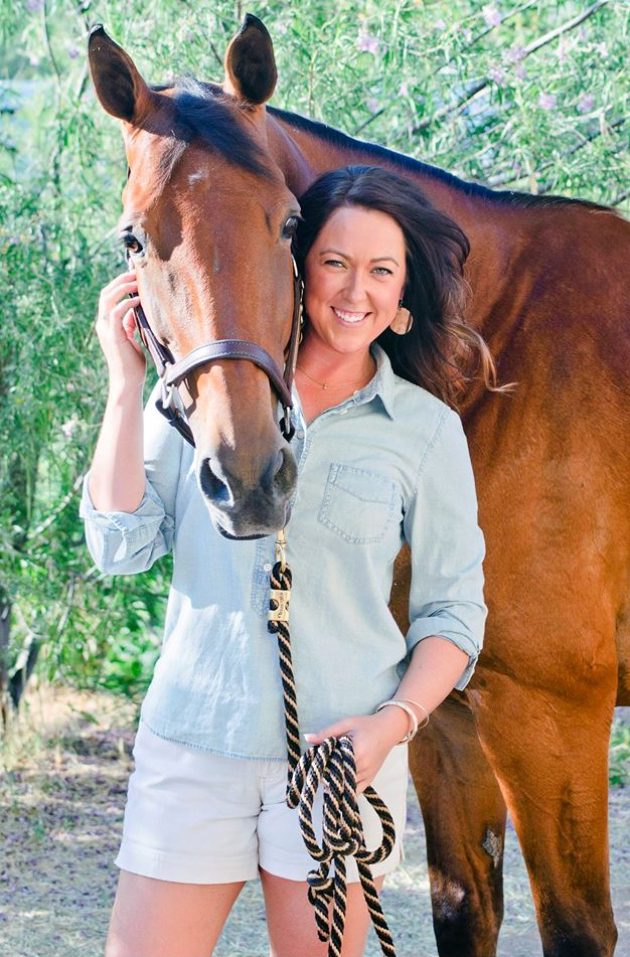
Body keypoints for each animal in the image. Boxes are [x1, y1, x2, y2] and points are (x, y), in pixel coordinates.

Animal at [86, 14, 628, 956]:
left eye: (288, 222)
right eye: (133, 239)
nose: (248, 475)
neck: (498, 366)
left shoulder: (552, 715)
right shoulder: (445, 716)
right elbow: (463, 907)